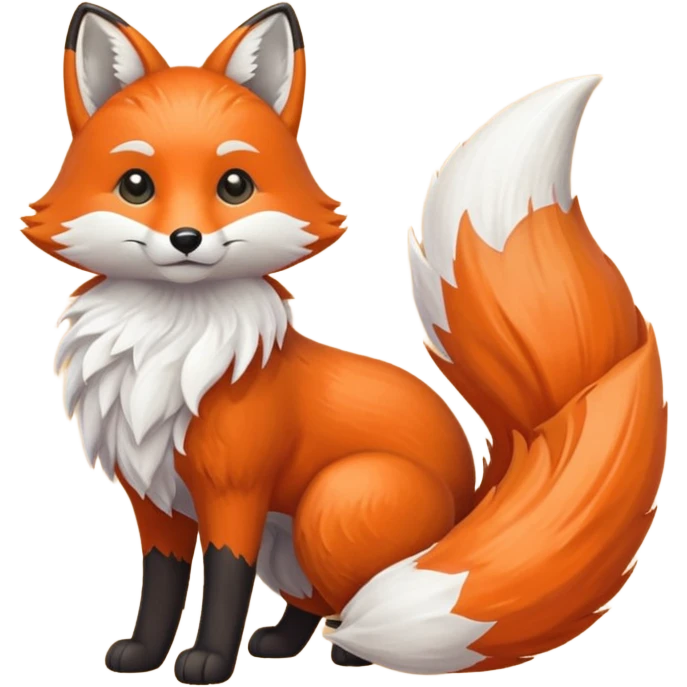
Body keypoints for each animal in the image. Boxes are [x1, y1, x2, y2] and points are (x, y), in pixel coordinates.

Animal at [20, 1, 668, 685]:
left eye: (234, 185)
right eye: (136, 185)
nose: (186, 239)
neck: (168, 348)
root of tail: (470, 505)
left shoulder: (234, 493)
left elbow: (224, 581)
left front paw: (210, 661)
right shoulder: (156, 500)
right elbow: (162, 586)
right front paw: (143, 655)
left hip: (335, 501)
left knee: (355, 601)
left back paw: (352, 652)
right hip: (289, 542)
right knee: (316, 601)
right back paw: (282, 642)